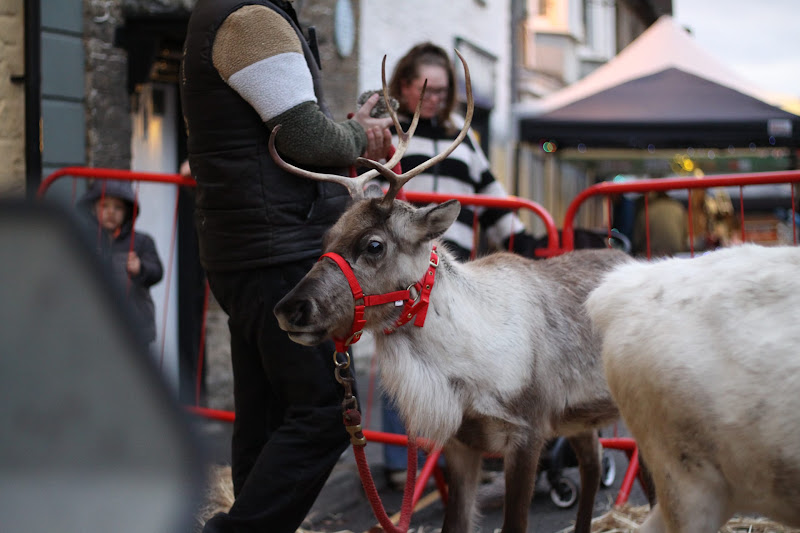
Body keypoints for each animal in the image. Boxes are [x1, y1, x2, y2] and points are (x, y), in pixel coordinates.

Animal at [271, 51, 633, 533]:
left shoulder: (528, 433)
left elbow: (515, 522)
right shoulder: (462, 444)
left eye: (374, 245)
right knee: (594, 466)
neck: (462, 368)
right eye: (327, 238)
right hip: (581, 418)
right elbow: (455, 521)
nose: (290, 308)